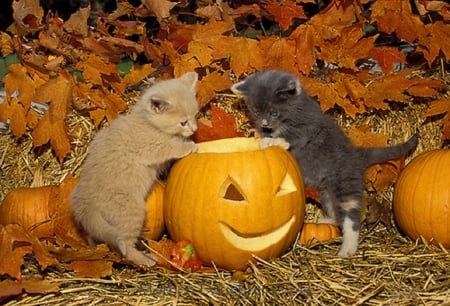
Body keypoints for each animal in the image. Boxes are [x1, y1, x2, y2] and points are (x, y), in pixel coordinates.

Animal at [71, 71, 199, 266]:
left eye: (195, 116)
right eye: (183, 122)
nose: (194, 129)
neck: (148, 123)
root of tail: (85, 204)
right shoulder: (152, 147)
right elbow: (172, 146)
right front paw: (189, 146)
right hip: (133, 210)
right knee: (126, 246)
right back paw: (146, 259)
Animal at [232, 70, 418, 256]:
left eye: (274, 113)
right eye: (256, 112)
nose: (264, 124)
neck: (296, 109)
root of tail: (357, 155)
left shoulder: (308, 125)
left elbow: (293, 136)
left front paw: (275, 141)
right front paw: (261, 137)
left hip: (345, 183)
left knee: (351, 217)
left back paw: (348, 249)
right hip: (326, 192)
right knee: (335, 209)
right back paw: (329, 220)